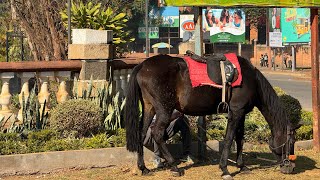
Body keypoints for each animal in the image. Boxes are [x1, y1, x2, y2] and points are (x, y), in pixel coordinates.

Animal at [124, 54, 298, 179]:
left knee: (141, 134)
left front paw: (242, 166)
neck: (251, 80)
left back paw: (143, 168)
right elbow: (229, 139)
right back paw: (174, 166)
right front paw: (225, 169)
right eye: (291, 141)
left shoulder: (241, 113)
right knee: (157, 133)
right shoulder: (236, 112)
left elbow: (240, 139)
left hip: (149, 108)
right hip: (164, 110)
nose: (290, 167)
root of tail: (142, 65)